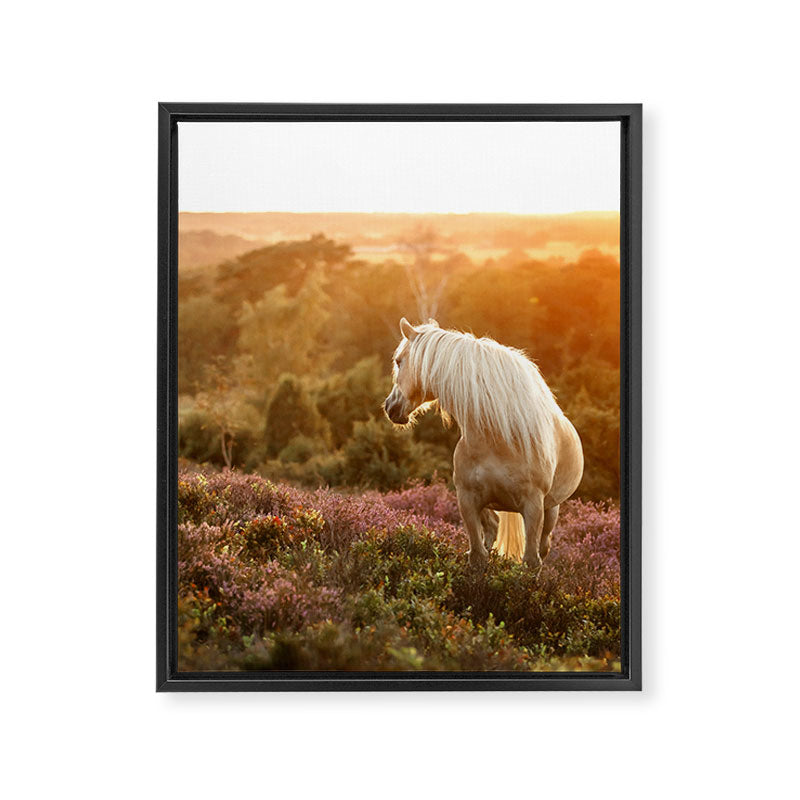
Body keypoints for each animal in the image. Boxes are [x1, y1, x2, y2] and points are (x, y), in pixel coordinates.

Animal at [383, 317, 584, 574]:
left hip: (551, 509)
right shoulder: (467, 500)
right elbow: (478, 555)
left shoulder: (533, 505)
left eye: (399, 361)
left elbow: (531, 560)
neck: (497, 439)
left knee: (544, 544)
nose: (390, 407)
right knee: (492, 529)